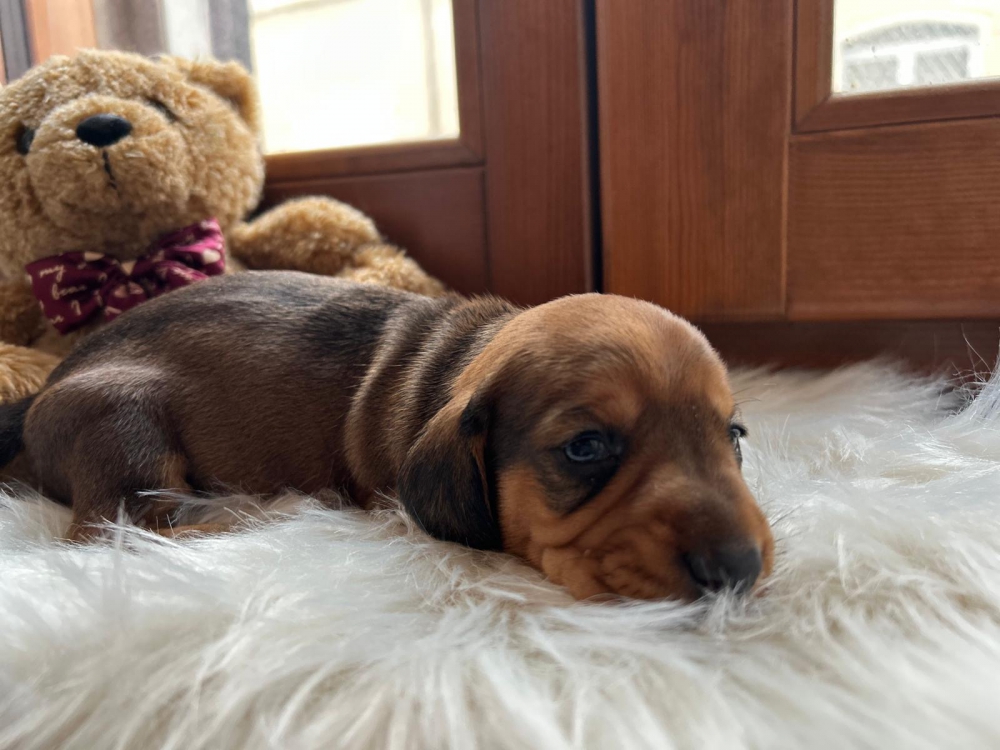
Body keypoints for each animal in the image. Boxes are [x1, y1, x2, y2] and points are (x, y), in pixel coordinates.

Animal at [0, 274, 772, 604]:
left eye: (733, 436)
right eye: (585, 448)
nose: (740, 569)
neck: (460, 361)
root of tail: (37, 394)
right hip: (125, 417)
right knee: (117, 524)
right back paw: (263, 510)